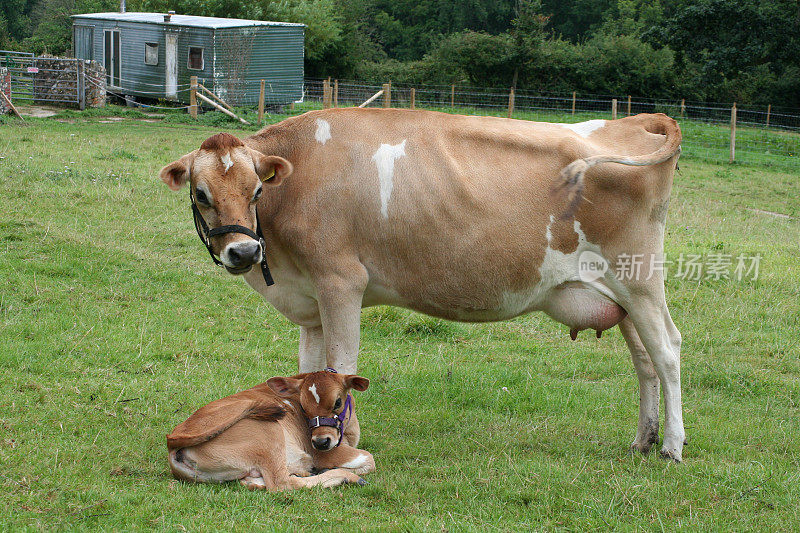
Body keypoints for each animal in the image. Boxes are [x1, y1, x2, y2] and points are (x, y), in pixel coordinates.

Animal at [159, 108, 684, 458]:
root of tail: (634, 121)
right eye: (201, 194)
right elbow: (308, 371)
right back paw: (643, 439)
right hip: (620, 296)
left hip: (639, 279)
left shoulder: (341, 282)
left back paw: (672, 446)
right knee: (644, 363)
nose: (244, 252)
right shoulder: (309, 300)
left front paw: (344, 440)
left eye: (256, 190)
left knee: (667, 351)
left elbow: (340, 366)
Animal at [165, 370, 376, 490]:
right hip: (268, 430)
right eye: (303, 407)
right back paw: (347, 478)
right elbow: (368, 459)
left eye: (337, 402)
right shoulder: (324, 453)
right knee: (282, 484)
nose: (321, 442)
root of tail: (173, 440)